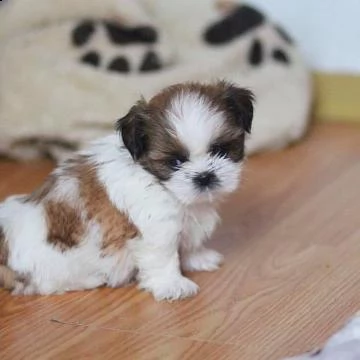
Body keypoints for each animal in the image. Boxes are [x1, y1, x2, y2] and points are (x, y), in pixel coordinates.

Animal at [0, 81, 253, 300]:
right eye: (175, 162)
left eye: (220, 150)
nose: (204, 176)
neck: (157, 180)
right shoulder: (158, 227)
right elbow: (163, 255)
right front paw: (172, 284)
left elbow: (189, 240)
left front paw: (197, 257)